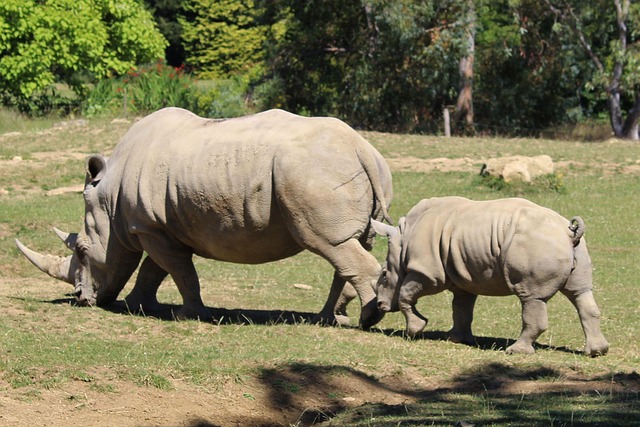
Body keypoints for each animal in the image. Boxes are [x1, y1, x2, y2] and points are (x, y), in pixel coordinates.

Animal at [16, 107, 393, 327]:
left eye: (81, 251)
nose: (82, 299)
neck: (109, 201)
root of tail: (361, 148)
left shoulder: (147, 226)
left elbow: (178, 269)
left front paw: (189, 315)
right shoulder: (159, 227)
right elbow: (156, 269)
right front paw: (140, 306)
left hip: (310, 172)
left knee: (328, 243)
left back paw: (368, 317)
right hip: (347, 170)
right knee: (346, 245)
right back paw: (331, 318)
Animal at [371, 196, 609, 357]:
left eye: (383, 274)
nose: (381, 305)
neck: (403, 240)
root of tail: (568, 232)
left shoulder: (427, 271)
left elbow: (405, 293)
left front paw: (415, 330)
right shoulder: (462, 278)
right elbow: (462, 309)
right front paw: (455, 339)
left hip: (537, 245)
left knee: (531, 298)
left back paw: (515, 351)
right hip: (575, 248)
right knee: (580, 293)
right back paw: (596, 352)